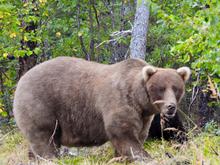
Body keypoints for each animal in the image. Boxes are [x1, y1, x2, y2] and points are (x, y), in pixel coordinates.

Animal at [12, 56, 190, 161]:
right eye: (160, 88)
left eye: (176, 88)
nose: (171, 107)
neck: (140, 100)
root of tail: (21, 79)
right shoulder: (120, 102)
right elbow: (125, 136)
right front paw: (144, 157)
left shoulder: (144, 117)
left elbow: (137, 136)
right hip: (41, 104)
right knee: (45, 139)